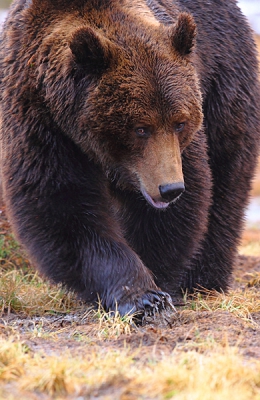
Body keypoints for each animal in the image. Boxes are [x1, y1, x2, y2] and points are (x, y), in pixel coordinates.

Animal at [0, 0, 258, 316]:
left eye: (180, 122)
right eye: (140, 128)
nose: (170, 189)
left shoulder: (179, 151)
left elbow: (171, 217)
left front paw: (156, 283)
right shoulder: (38, 119)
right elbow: (62, 205)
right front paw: (140, 295)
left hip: (225, 82)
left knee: (227, 178)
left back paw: (204, 280)